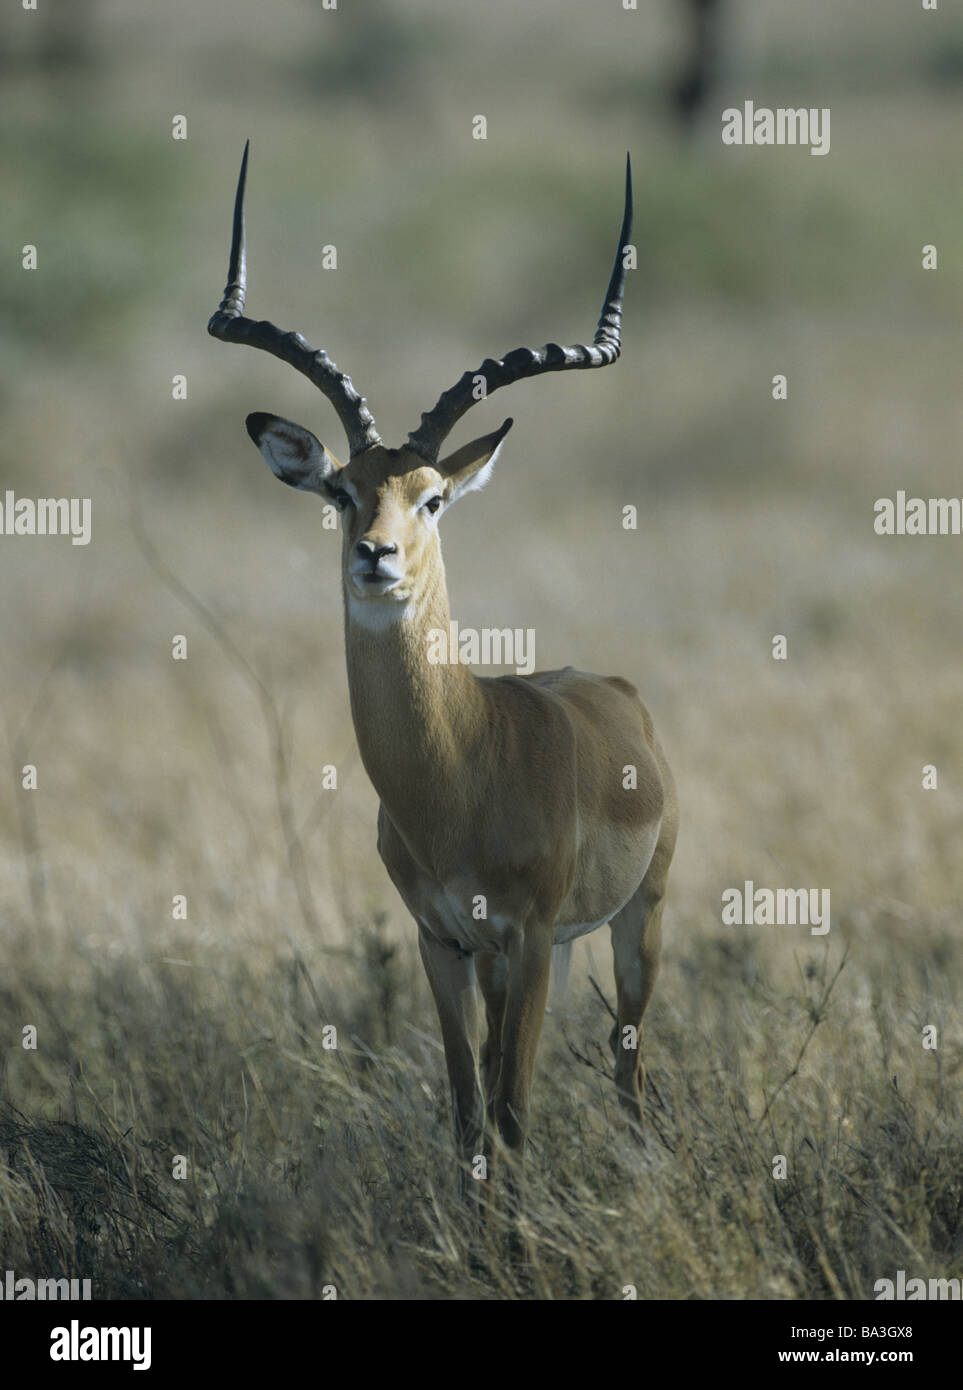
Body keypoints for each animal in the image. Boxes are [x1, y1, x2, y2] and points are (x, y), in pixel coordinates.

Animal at [208, 143, 678, 1188]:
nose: (374, 556)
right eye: (341, 489)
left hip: (637, 920)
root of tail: (617, 696)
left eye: (428, 496)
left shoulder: (530, 937)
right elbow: (466, 1108)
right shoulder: (442, 940)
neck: (462, 767)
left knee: (628, 1068)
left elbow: (511, 1110)